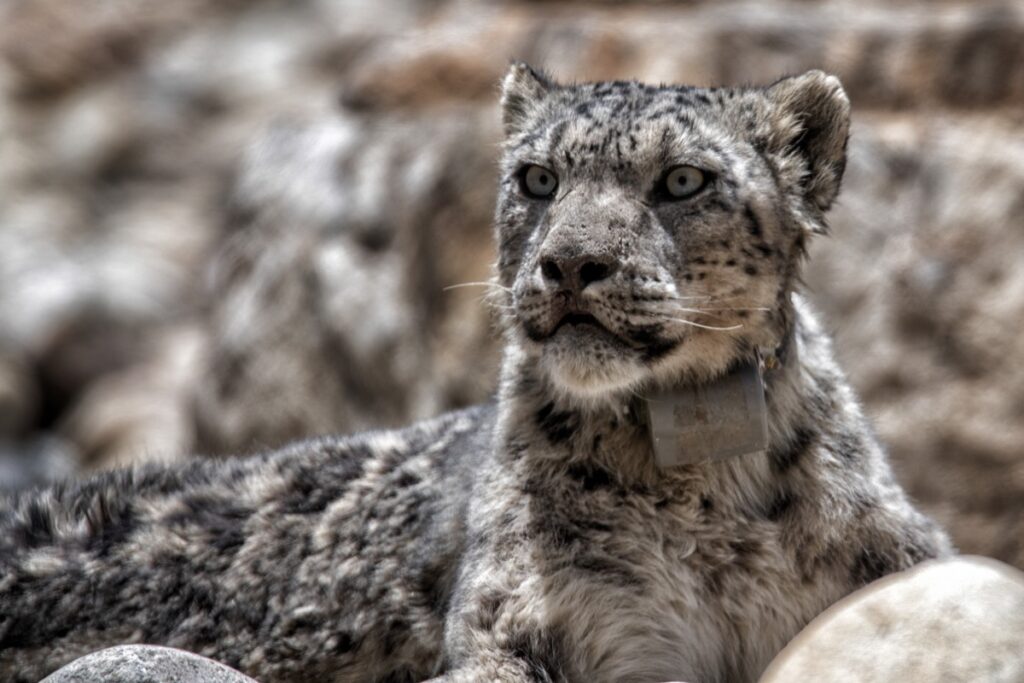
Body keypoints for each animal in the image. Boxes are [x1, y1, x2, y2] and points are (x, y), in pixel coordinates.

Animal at [0, 63, 950, 683]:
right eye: (537, 177)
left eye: (684, 179)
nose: (571, 265)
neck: (706, 486)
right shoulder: (517, 620)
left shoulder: (897, 567)